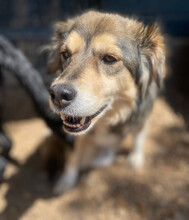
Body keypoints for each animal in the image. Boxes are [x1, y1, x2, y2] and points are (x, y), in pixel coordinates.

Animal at [47, 10, 165, 194]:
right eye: (65, 54)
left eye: (109, 58)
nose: (58, 94)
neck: (108, 118)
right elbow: (72, 156)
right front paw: (66, 180)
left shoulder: (143, 115)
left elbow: (139, 136)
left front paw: (136, 157)